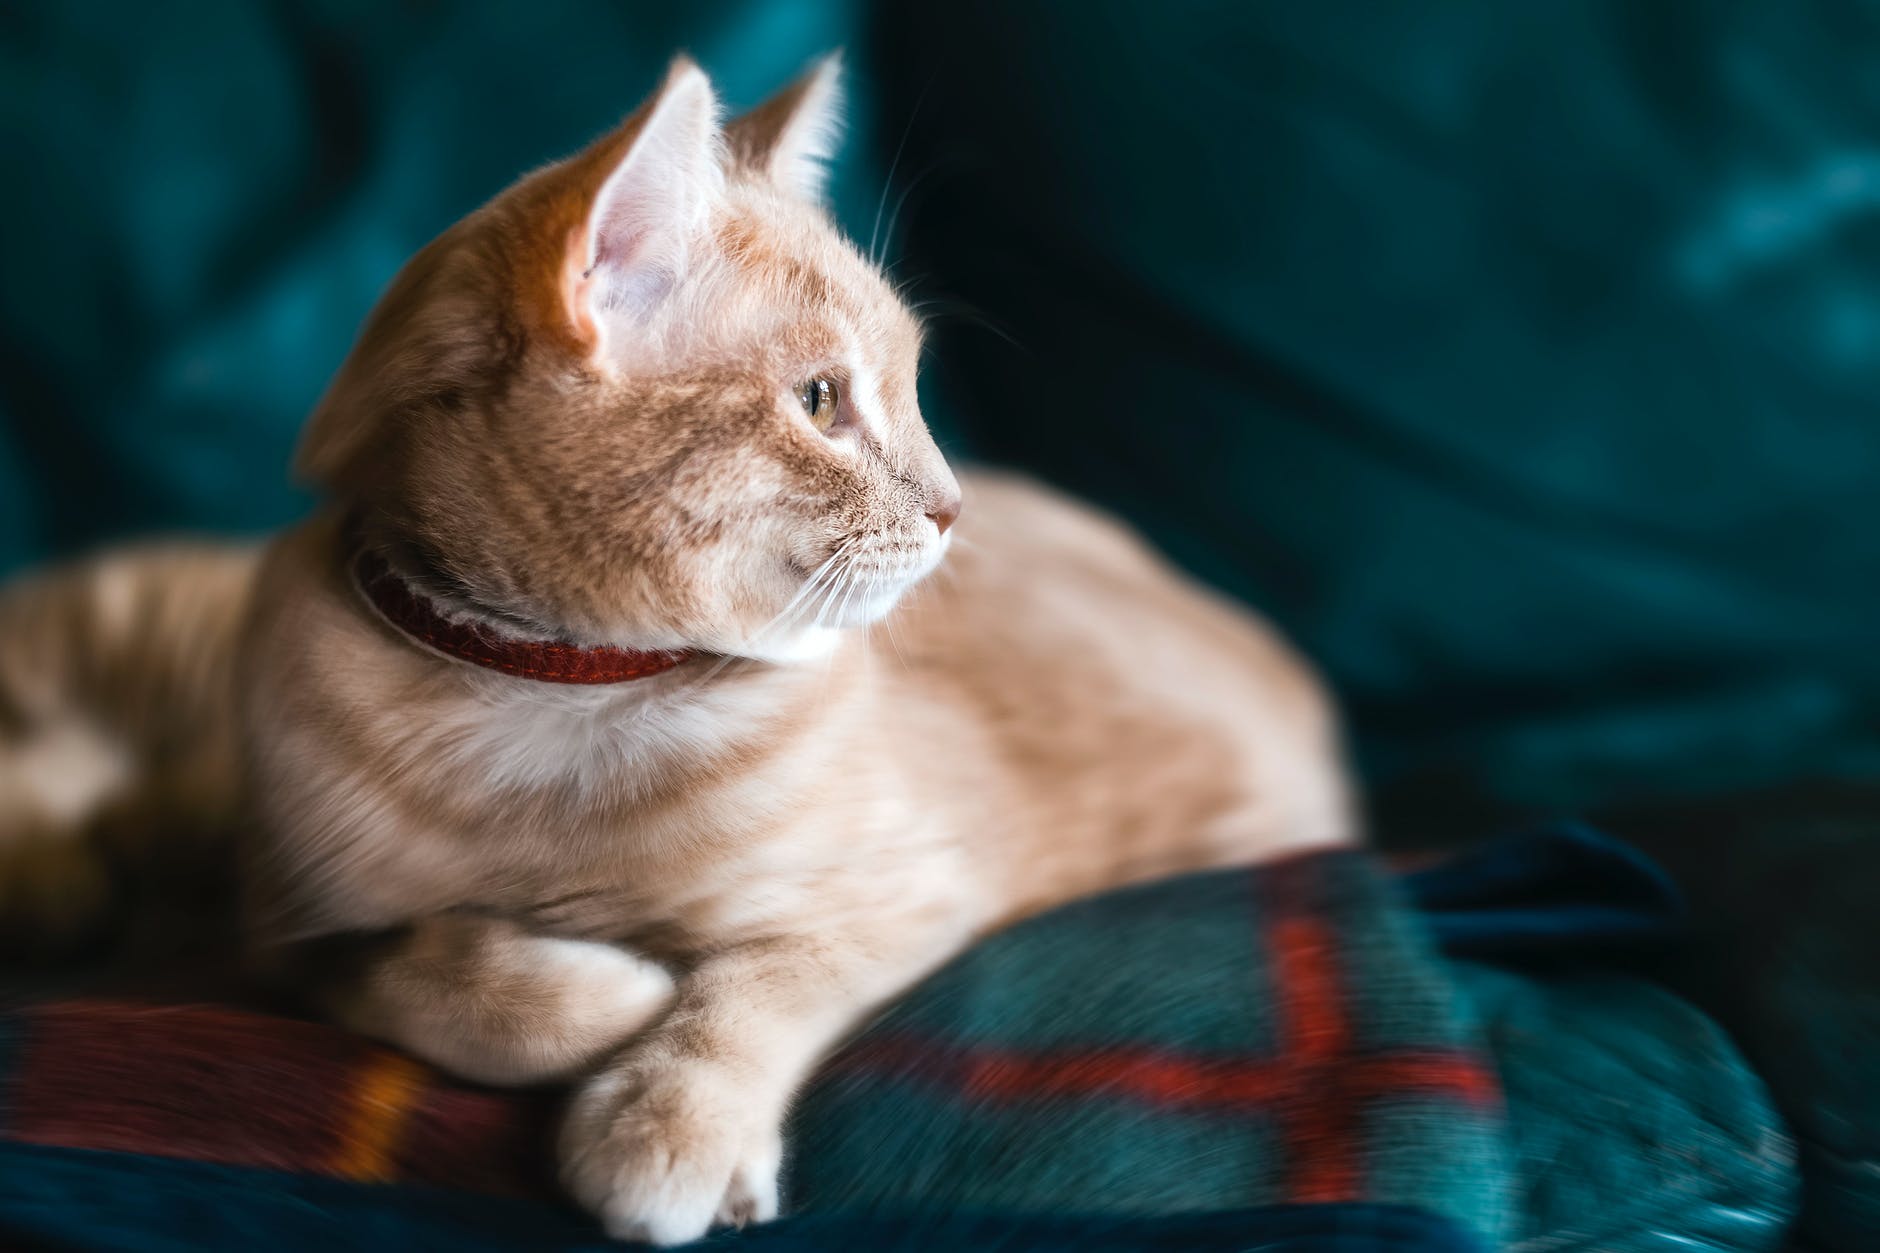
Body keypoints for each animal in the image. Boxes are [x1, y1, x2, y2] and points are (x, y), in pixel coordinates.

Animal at [0, 56, 1353, 1241]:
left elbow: (753, 982)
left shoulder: (911, 886)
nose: (950, 504)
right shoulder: (285, 933)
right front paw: (602, 995)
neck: (557, 693)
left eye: (912, 385)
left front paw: (670, 1114)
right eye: (820, 401)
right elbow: (427, 971)